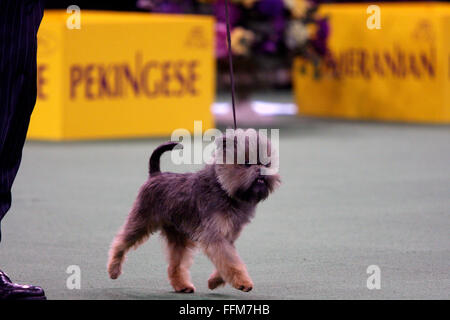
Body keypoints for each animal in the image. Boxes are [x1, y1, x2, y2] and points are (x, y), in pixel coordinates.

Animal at [107, 129, 280, 292]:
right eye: (246, 163)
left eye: (267, 164)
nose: (261, 169)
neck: (223, 189)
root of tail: (155, 175)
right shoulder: (215, 236)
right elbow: (230, 261)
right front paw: (243, 282)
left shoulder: (228, 237)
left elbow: (228, 260)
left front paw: (214, 281)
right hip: (142, 220)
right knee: (121, 242)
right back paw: (113, 270)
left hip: (178, 235)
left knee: (175, 264)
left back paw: (182, 285)